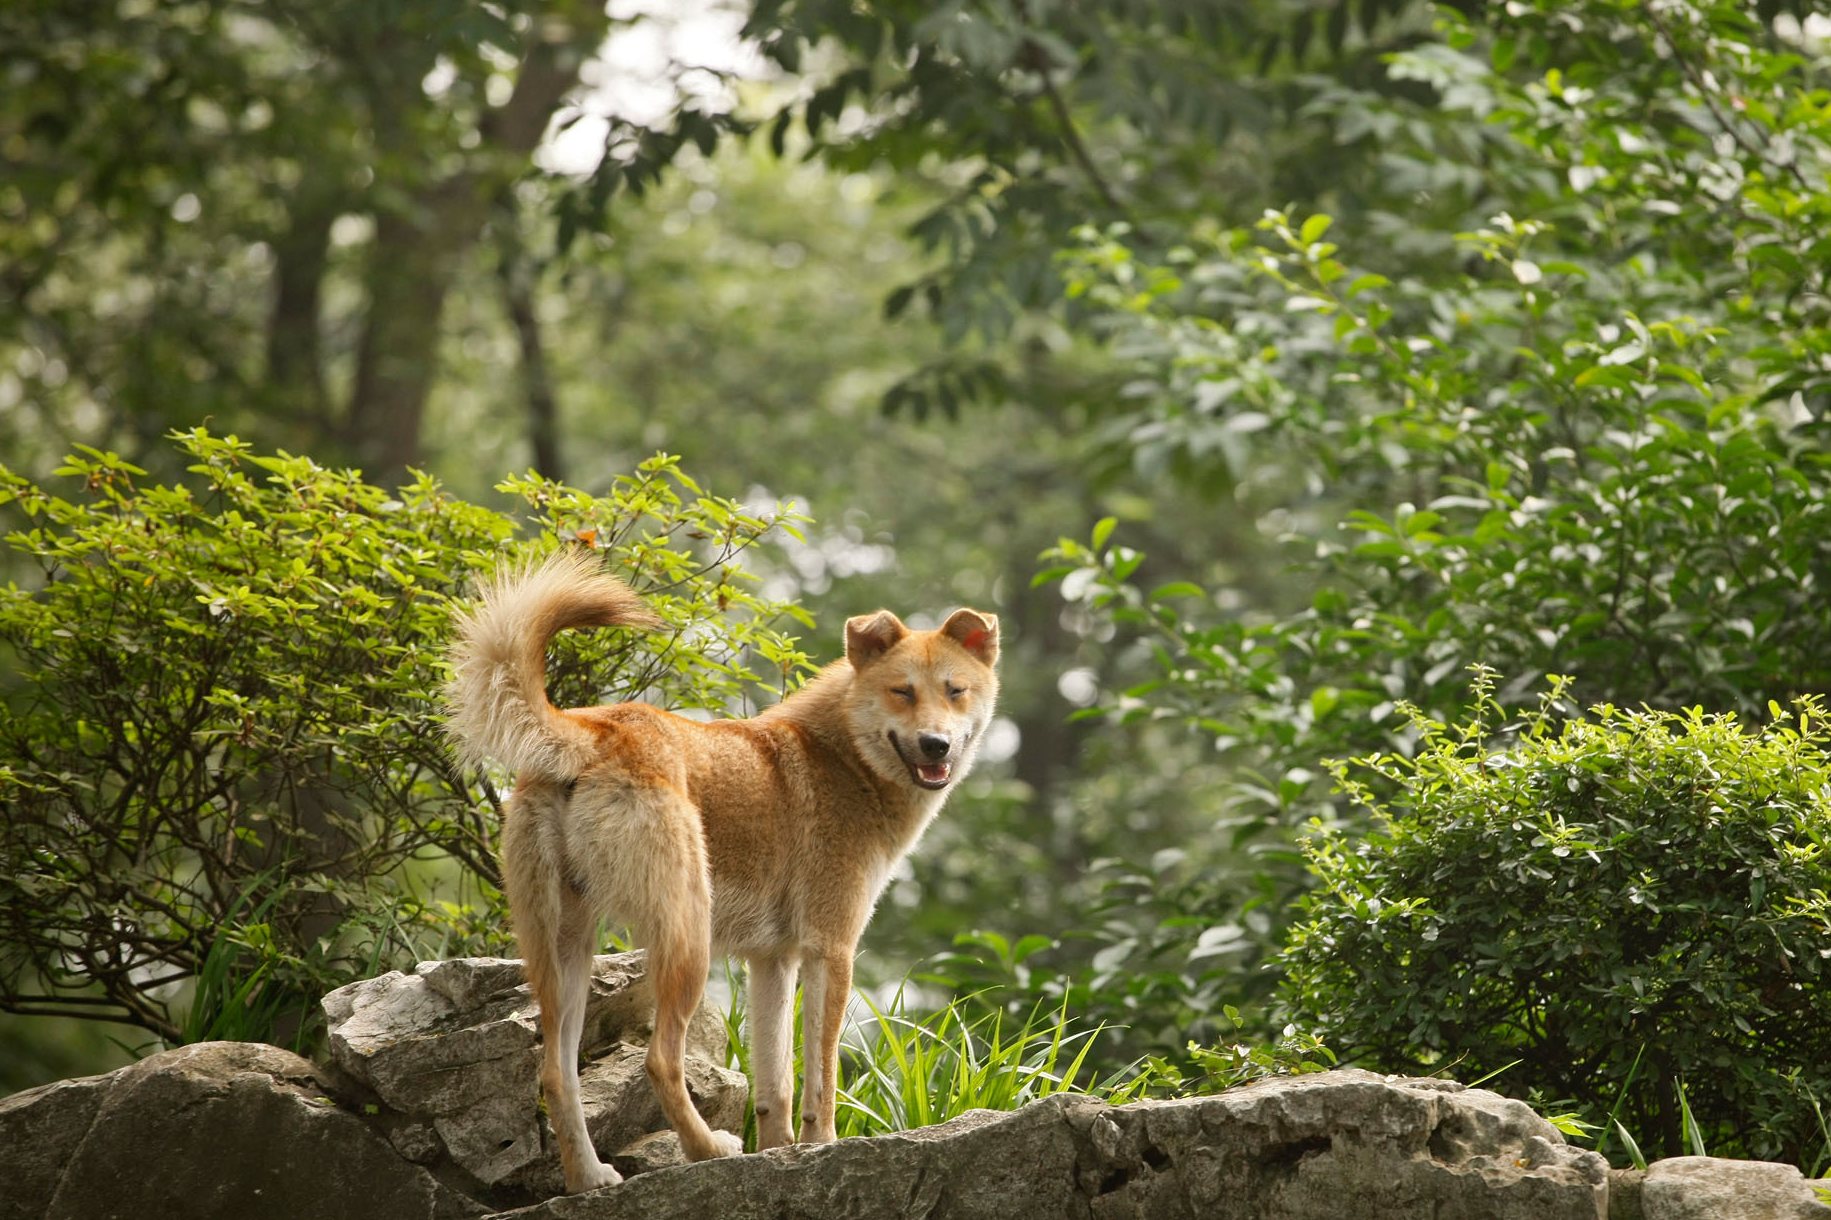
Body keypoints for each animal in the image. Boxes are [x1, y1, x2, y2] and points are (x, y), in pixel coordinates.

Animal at [446, 549, 1003, 1187]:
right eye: (902, 692)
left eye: (955, 691)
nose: (936, 745)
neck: (843, 759)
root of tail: (595, 731)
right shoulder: (831, 949)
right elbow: (821, 1078)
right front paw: (822, 1147)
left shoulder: (773, 962)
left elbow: (776, 1086)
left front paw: (779, 1152)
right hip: (687, 941)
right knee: (660, 1061)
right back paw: (707, 1149)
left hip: (565, 951)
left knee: (555, 1075)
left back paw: (590, 1179)